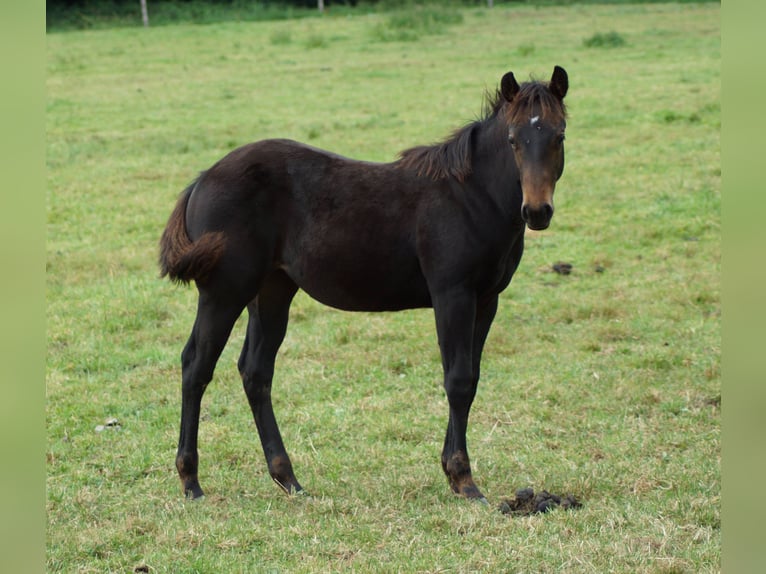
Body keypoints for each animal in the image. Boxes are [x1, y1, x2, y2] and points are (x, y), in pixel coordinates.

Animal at [160, 66, 569, 502]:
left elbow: (471, 380)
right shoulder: (452, 294)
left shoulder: (487, 300)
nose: (537, 211)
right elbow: (457, 380)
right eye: (512, 140)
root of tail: (202, 180)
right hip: (224, 290)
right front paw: (463, 479)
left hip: (272, 290)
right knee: (197, 365)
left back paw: (288, 478)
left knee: (255, 372)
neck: (471, 197)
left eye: (559, 135)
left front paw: (452, 471)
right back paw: (191, 481)